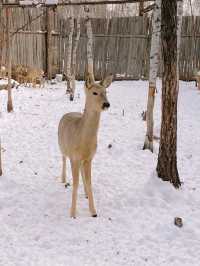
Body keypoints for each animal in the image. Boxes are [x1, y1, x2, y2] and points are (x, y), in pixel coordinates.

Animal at [57, 73, 112, 218]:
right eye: (94, 92)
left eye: (106, 92)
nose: (106, 104)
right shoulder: (74, 157)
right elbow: (75, 184)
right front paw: (72, 213)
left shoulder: (89, 158)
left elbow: (89, 182)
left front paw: (93, 211)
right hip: (62, 145)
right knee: (63, 158)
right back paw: (63, 179)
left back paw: (86, 194)